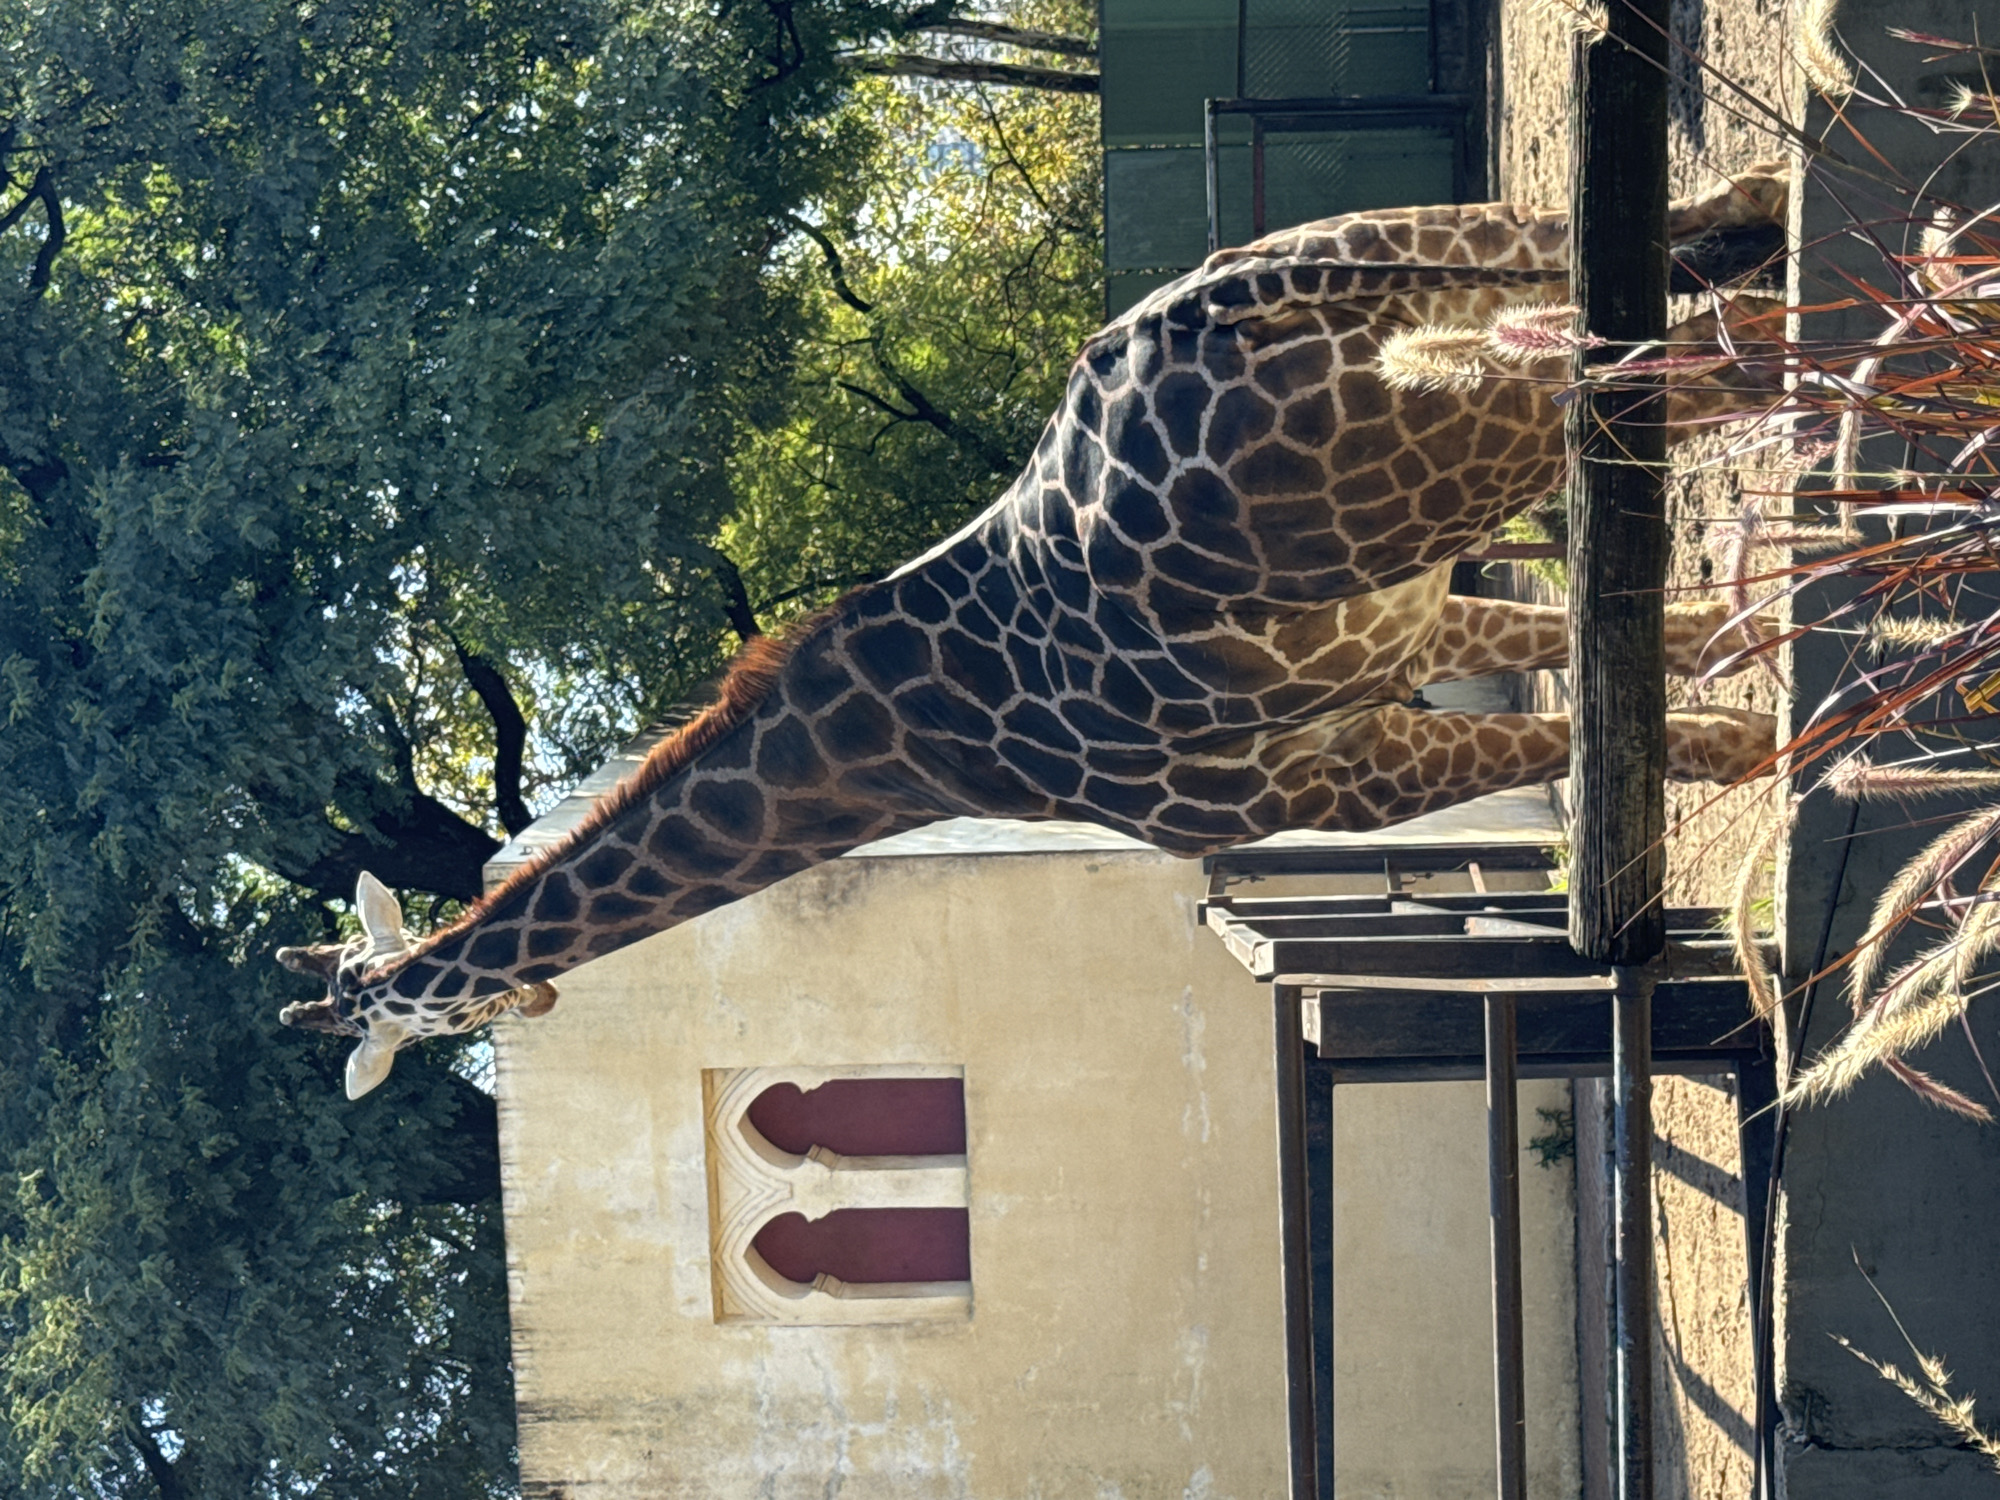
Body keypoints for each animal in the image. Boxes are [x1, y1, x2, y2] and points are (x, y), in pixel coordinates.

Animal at [279, 164, 1788, 1097]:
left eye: (405, 1009)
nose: (511, 1012)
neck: (920, 752)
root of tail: (1204, 316)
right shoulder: (1393, 657)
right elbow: (1664, 677)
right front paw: (1770, 707)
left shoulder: (1332, 780)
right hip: (1448, 268)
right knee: (1725, 231)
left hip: (1468, 433)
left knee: (1744, 345)